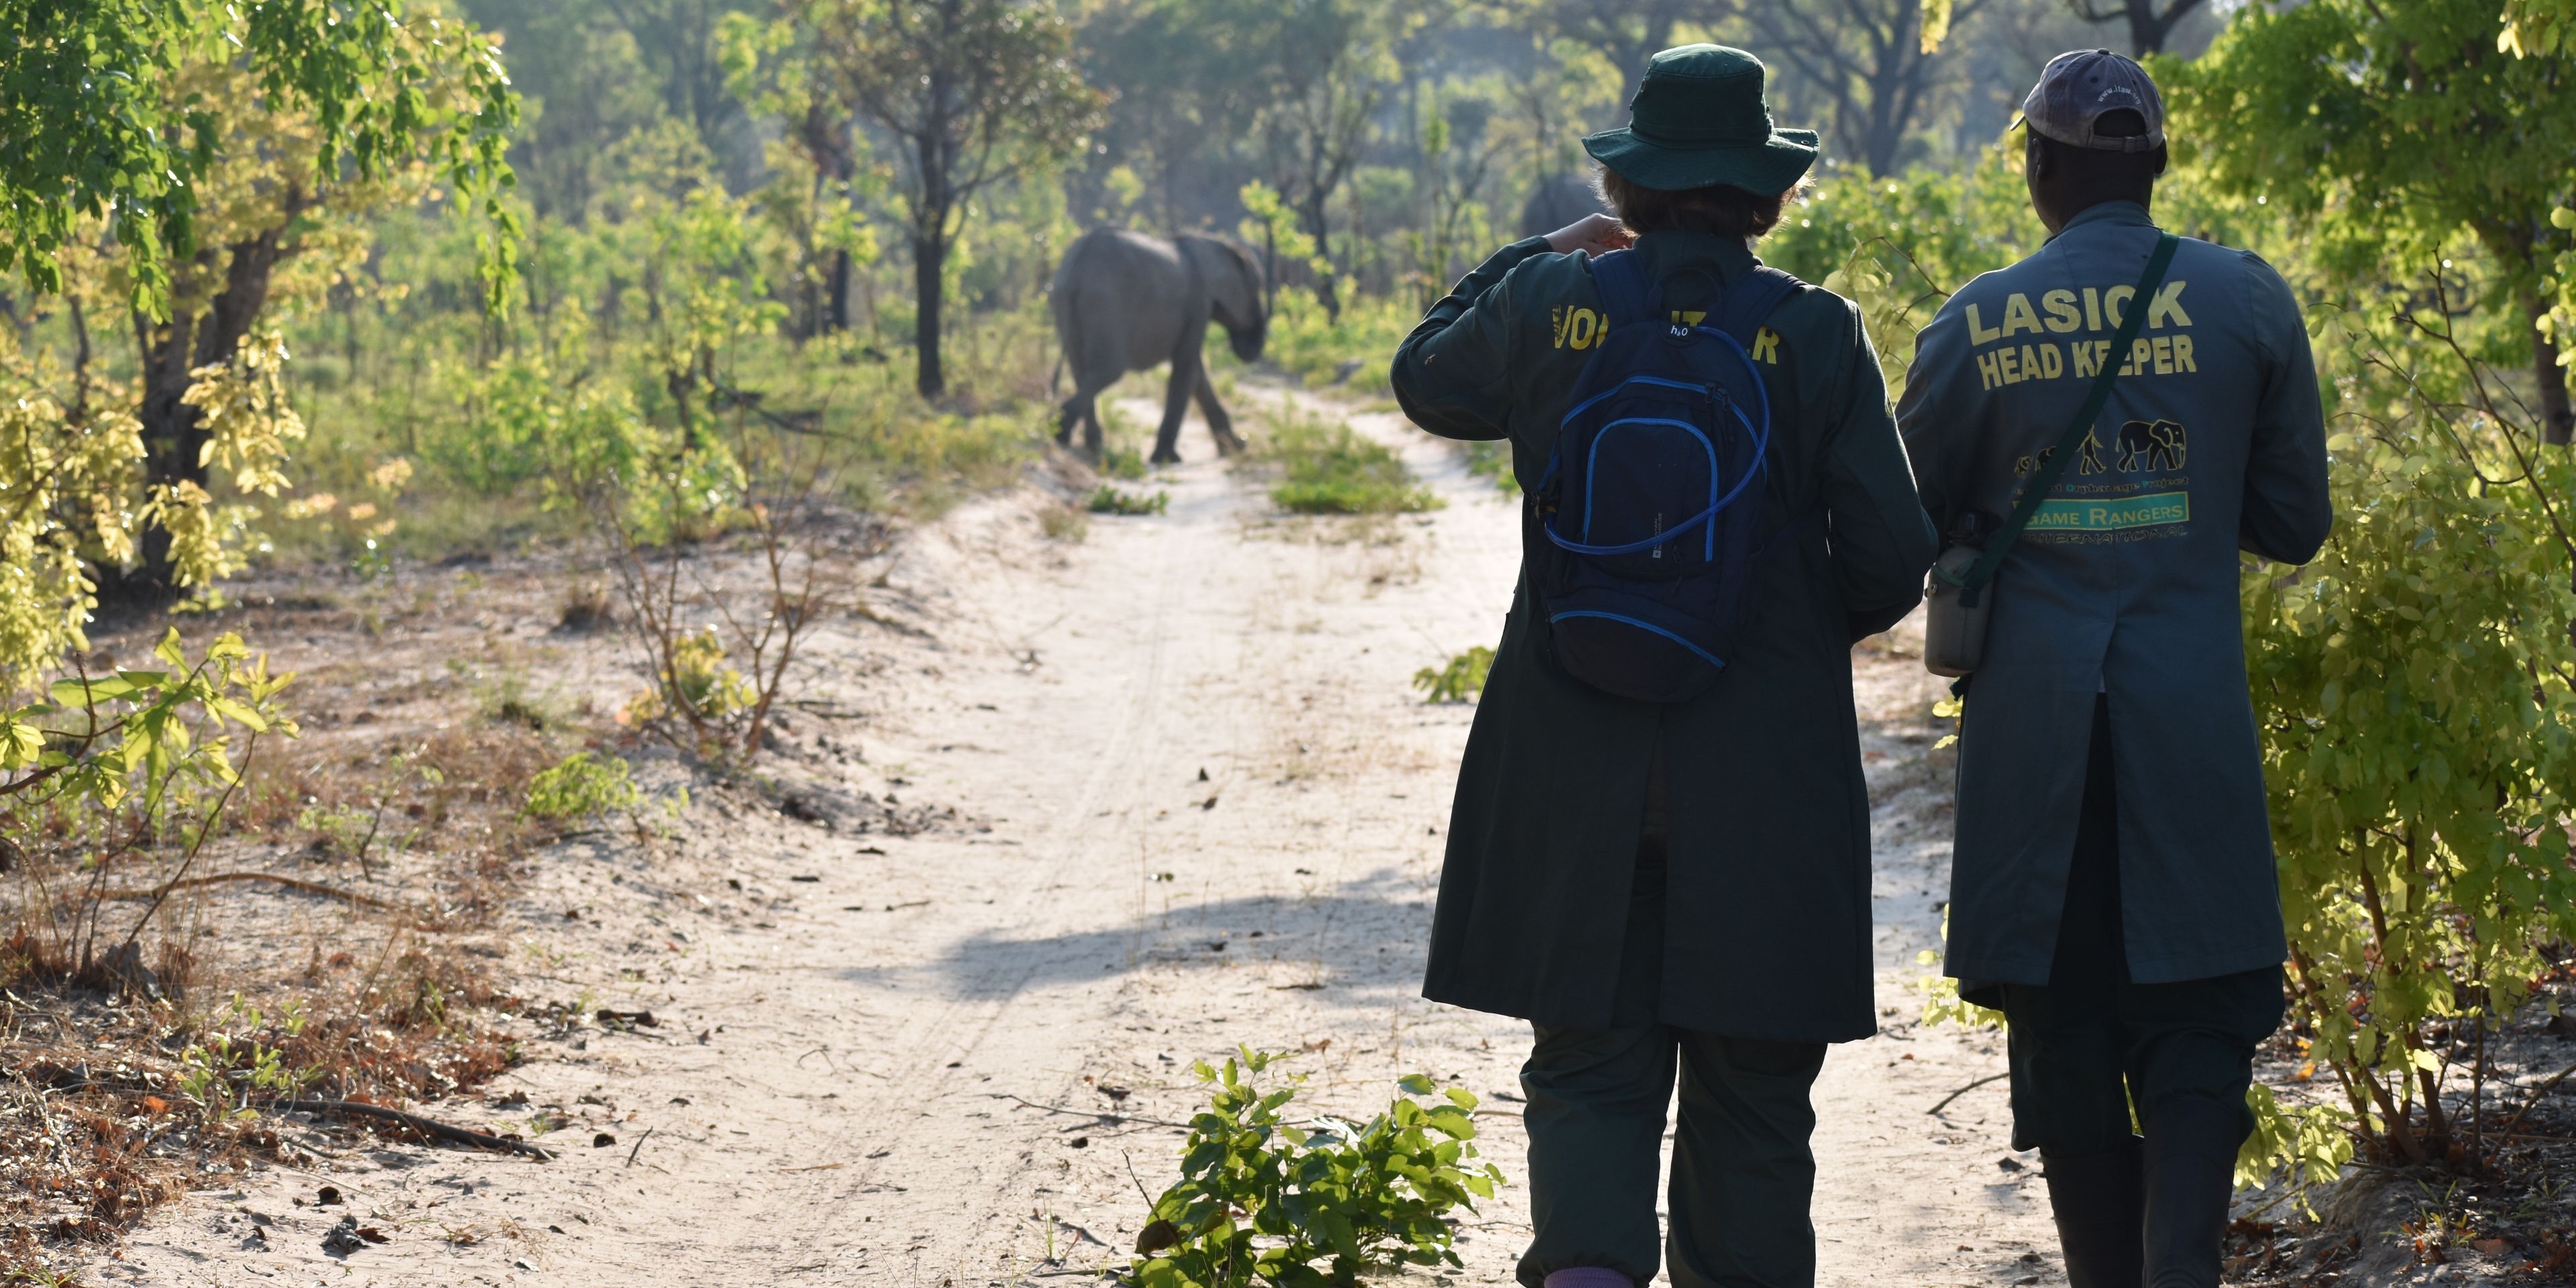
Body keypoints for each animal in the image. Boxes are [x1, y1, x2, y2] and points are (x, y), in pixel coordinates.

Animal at [1050, 228, 1267, 465]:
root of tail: (1077, 267)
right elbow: (1187, 368)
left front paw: (1234, 448)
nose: (1250, 351)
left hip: (1069, 304)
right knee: (1109, 371)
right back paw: (1061, 434)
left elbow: (1197, 373)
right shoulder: (1198, 303)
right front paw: (1168, 459)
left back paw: (1092, 447)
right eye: (1257, 286)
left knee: (1081, 370)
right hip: (1105, 302)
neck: (1214, 243)